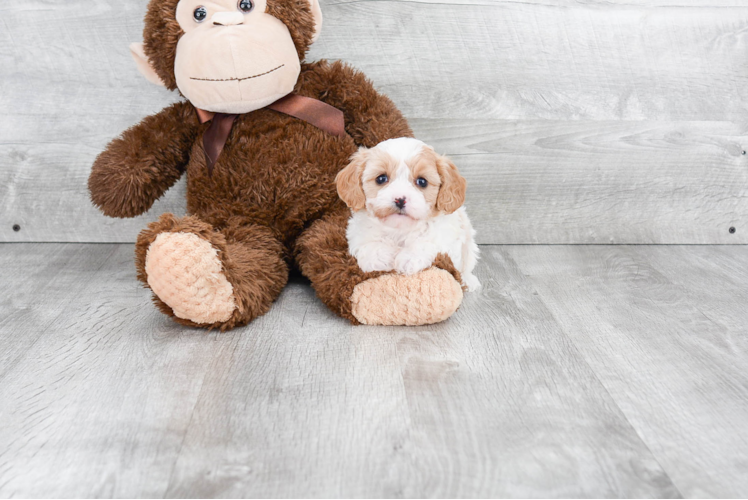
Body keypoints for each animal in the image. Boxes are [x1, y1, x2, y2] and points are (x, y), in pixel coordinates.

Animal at [334, 139, 480, 292]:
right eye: (381, 178)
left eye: (422, 181)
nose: (400, 199)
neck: (400, 229)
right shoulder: (357, 234)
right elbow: (368, 243)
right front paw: (378, 257)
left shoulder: (447, 239)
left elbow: (429, 243)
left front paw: (410, 258)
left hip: (469, 244)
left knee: (466, 267)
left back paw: (469, 281)